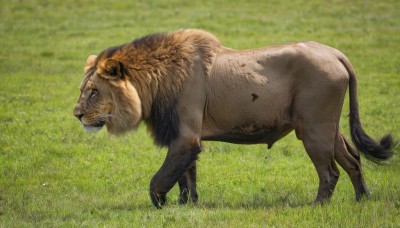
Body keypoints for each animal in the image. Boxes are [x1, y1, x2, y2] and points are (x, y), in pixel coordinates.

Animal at [72, 29, 394, 208]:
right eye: (82, 89)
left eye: (94, 92)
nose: (76, 115)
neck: (154, 83)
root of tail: (337, 54)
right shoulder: (184, 137)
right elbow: (186, 178)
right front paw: (186, 206)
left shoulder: (185, 137)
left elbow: (159, 179)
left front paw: (159, 204)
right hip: (327, 127)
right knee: (353, 161)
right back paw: (362, 200)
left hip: (314, 128)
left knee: (330, 172)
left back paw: (317, 207)